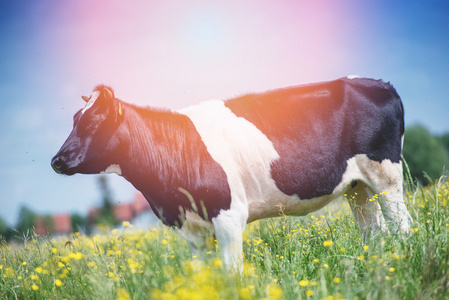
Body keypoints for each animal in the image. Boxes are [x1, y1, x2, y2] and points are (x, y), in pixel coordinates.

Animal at [50, 77, 412, 270]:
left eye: (93, 122)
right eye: (73, 120)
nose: (57, 160)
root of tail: (379, 84)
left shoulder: (229, 216)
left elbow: (231, 272)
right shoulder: (192, 230)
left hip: (387, 177)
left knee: (403, 226)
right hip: (358, 187)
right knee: (373, 232)